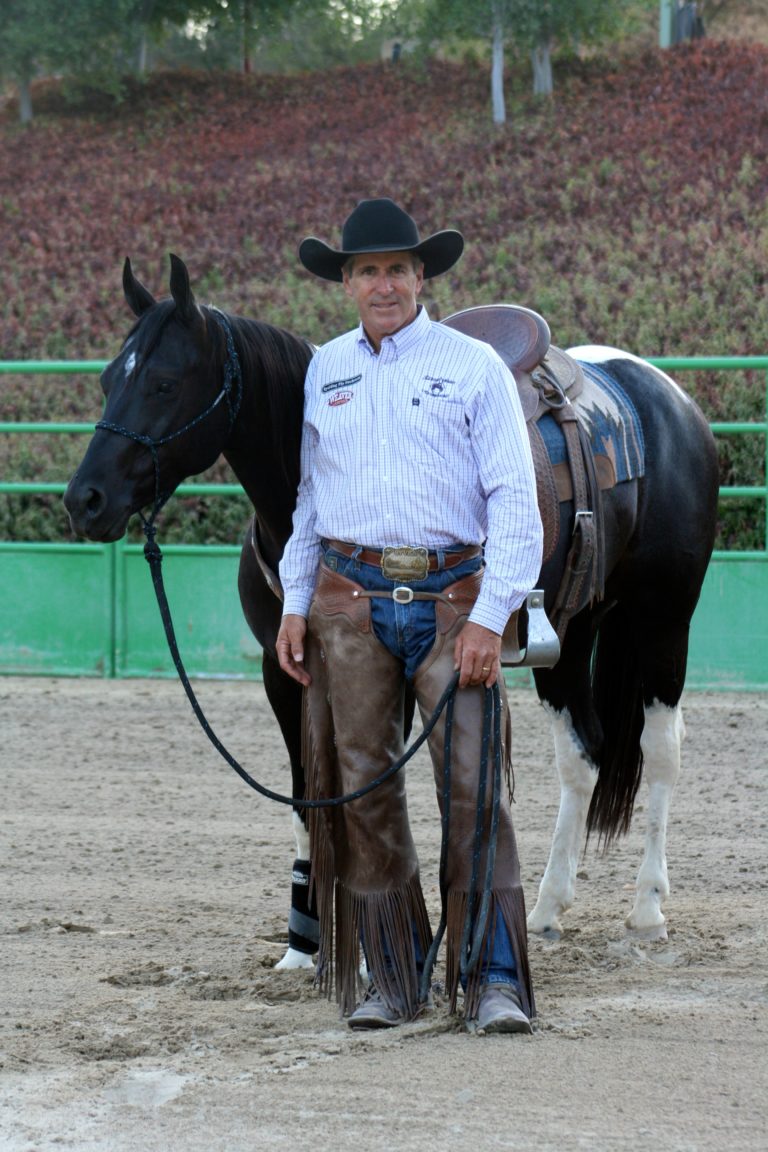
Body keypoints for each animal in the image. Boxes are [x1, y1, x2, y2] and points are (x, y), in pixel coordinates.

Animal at [64, 254, 719, 961]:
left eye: (163, 383)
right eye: (108, 378)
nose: (85, 499)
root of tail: (670, 399)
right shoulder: (283, 670)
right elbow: (308, 794)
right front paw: (304, 941)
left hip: (664, 620)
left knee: (661, 747)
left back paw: (647, 907)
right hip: (569, 635)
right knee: (585, 753)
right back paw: (547, 909)